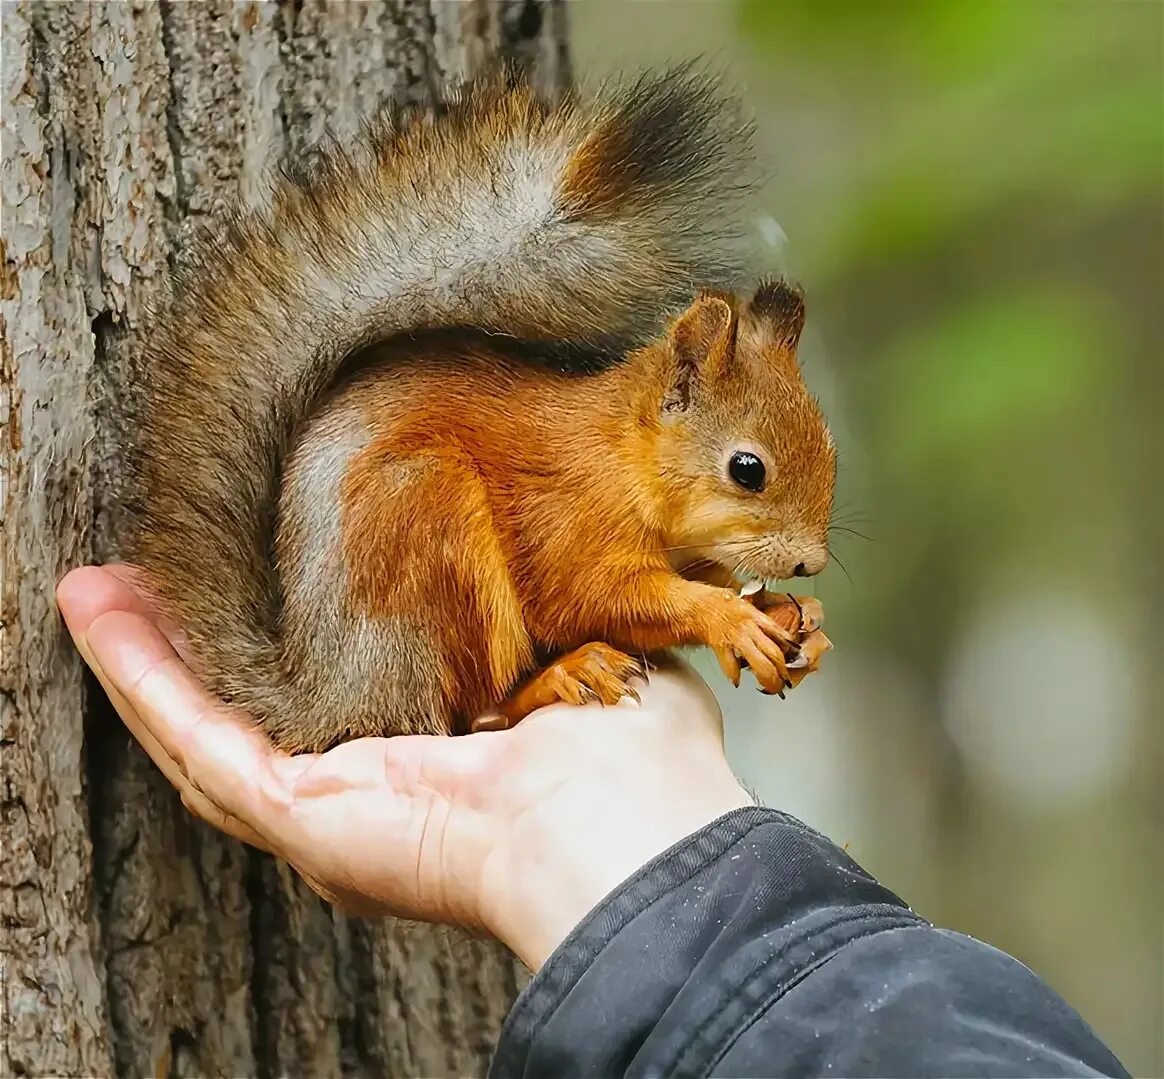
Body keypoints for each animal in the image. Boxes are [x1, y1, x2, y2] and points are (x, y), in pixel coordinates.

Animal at [127, 65, 838, 749]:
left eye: (832, 450)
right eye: (747, 469)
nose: (811, 564)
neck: (624, 459)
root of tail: (331, 698)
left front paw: (790, 610)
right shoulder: (568, 519)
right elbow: (599, 599)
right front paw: (730, 619)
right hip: (431, 525)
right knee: (474, 708)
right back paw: (562, 674)